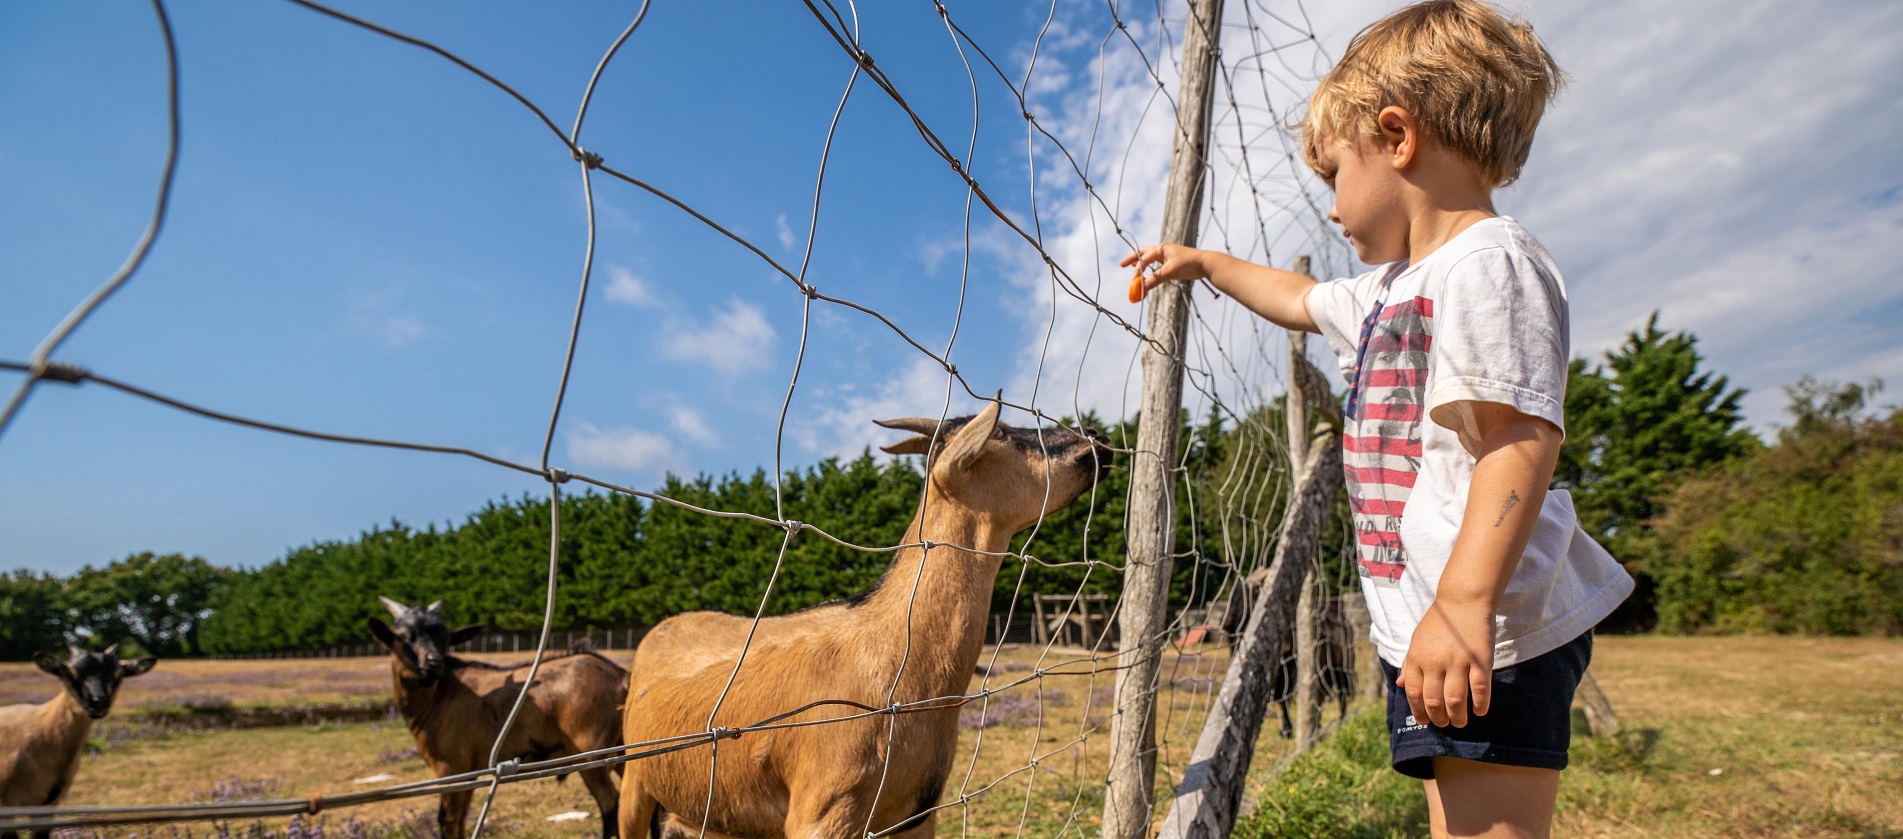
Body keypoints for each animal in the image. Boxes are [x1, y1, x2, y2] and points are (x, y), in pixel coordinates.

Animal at [371, 593, 631, 837]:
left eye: (444, 638)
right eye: (403, 636)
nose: (434, 662)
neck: (442, 693)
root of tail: (620, 676)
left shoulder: (451, 767)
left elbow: (448, 822)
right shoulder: (469, 772)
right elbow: (461, 819)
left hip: (592, 751)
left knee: (611, 804)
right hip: (619, 747)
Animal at [616, 399, 1111, 837]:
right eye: (1003, 432)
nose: (1096, 438)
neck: (898, 660)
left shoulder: (915, 815)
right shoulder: (822, 813)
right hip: (633, 783)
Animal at [1217, 570, 1354, 738]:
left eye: (1250, 595)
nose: (1225, 620)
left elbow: (1291, 696)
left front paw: (1291, 729)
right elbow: (1282, 699)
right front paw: (1287, 730)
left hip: (1341, 668)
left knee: (1341, 693)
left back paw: (1340, 722)